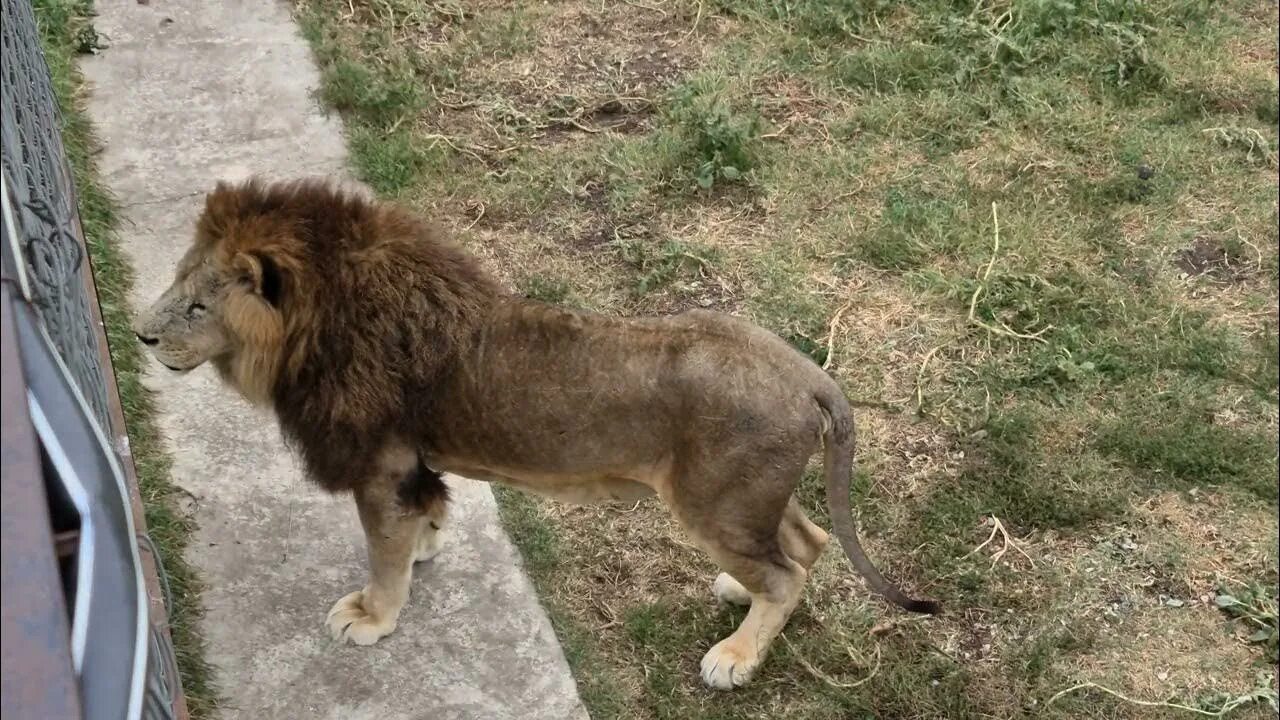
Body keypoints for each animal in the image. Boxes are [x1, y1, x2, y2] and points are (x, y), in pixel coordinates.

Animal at [132, 176, 942, 686]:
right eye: (178, 284)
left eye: (198, 306)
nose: (140, 335)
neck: (320, 324)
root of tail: (809, 374)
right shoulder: (413, 462)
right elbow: (423, 519)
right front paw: (425, 549)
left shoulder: (381, 465)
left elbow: (381, 554)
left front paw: (373, 615)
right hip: (744, 496)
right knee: (807, 542)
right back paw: (735, 592)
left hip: (714, 503)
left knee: (788, 573)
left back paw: (735, 657)